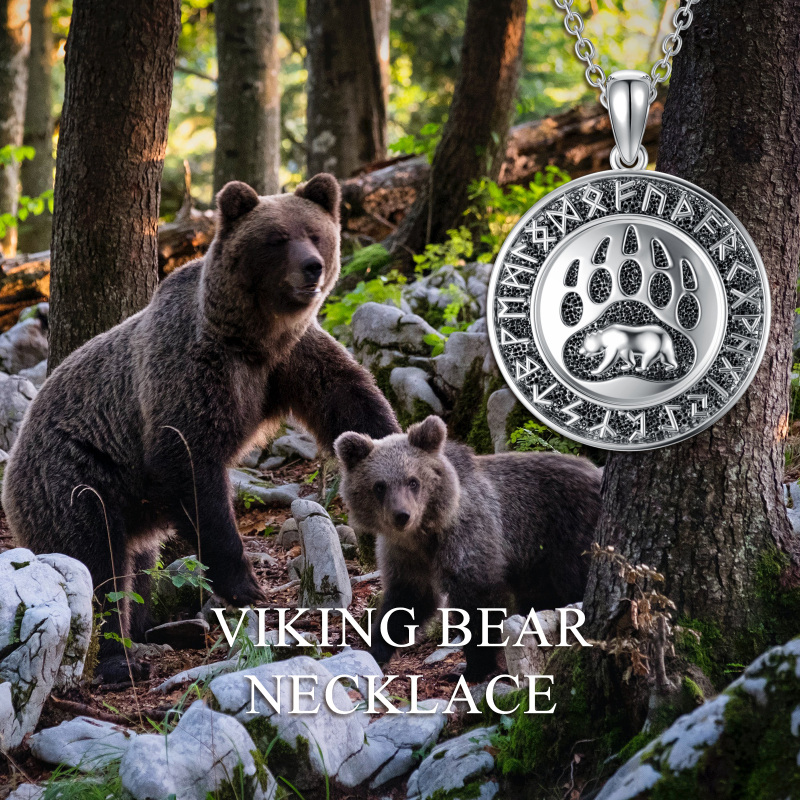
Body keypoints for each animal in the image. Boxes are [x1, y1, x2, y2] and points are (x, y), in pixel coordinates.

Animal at [2, 174, 400, 683]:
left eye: (315, 234)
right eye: (276, 239)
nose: (312, 267)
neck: (252, 338)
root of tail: (15, 457)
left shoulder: (291, 359)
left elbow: (348, 399)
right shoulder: (191, 372)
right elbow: (190, 465)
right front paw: (245, 583)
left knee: (138, 567)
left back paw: (158, 630)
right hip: (77, 479)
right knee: (97, 565)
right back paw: (120, 658)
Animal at [334, 415, 602, 682]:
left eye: (413, 481)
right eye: (379, 486)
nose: (401, 515)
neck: (425, 533)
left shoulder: (469, 534)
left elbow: (476, 599)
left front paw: (474, 667)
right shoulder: (404, 553)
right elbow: (408, 599)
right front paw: (376, 651)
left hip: (569, 534)